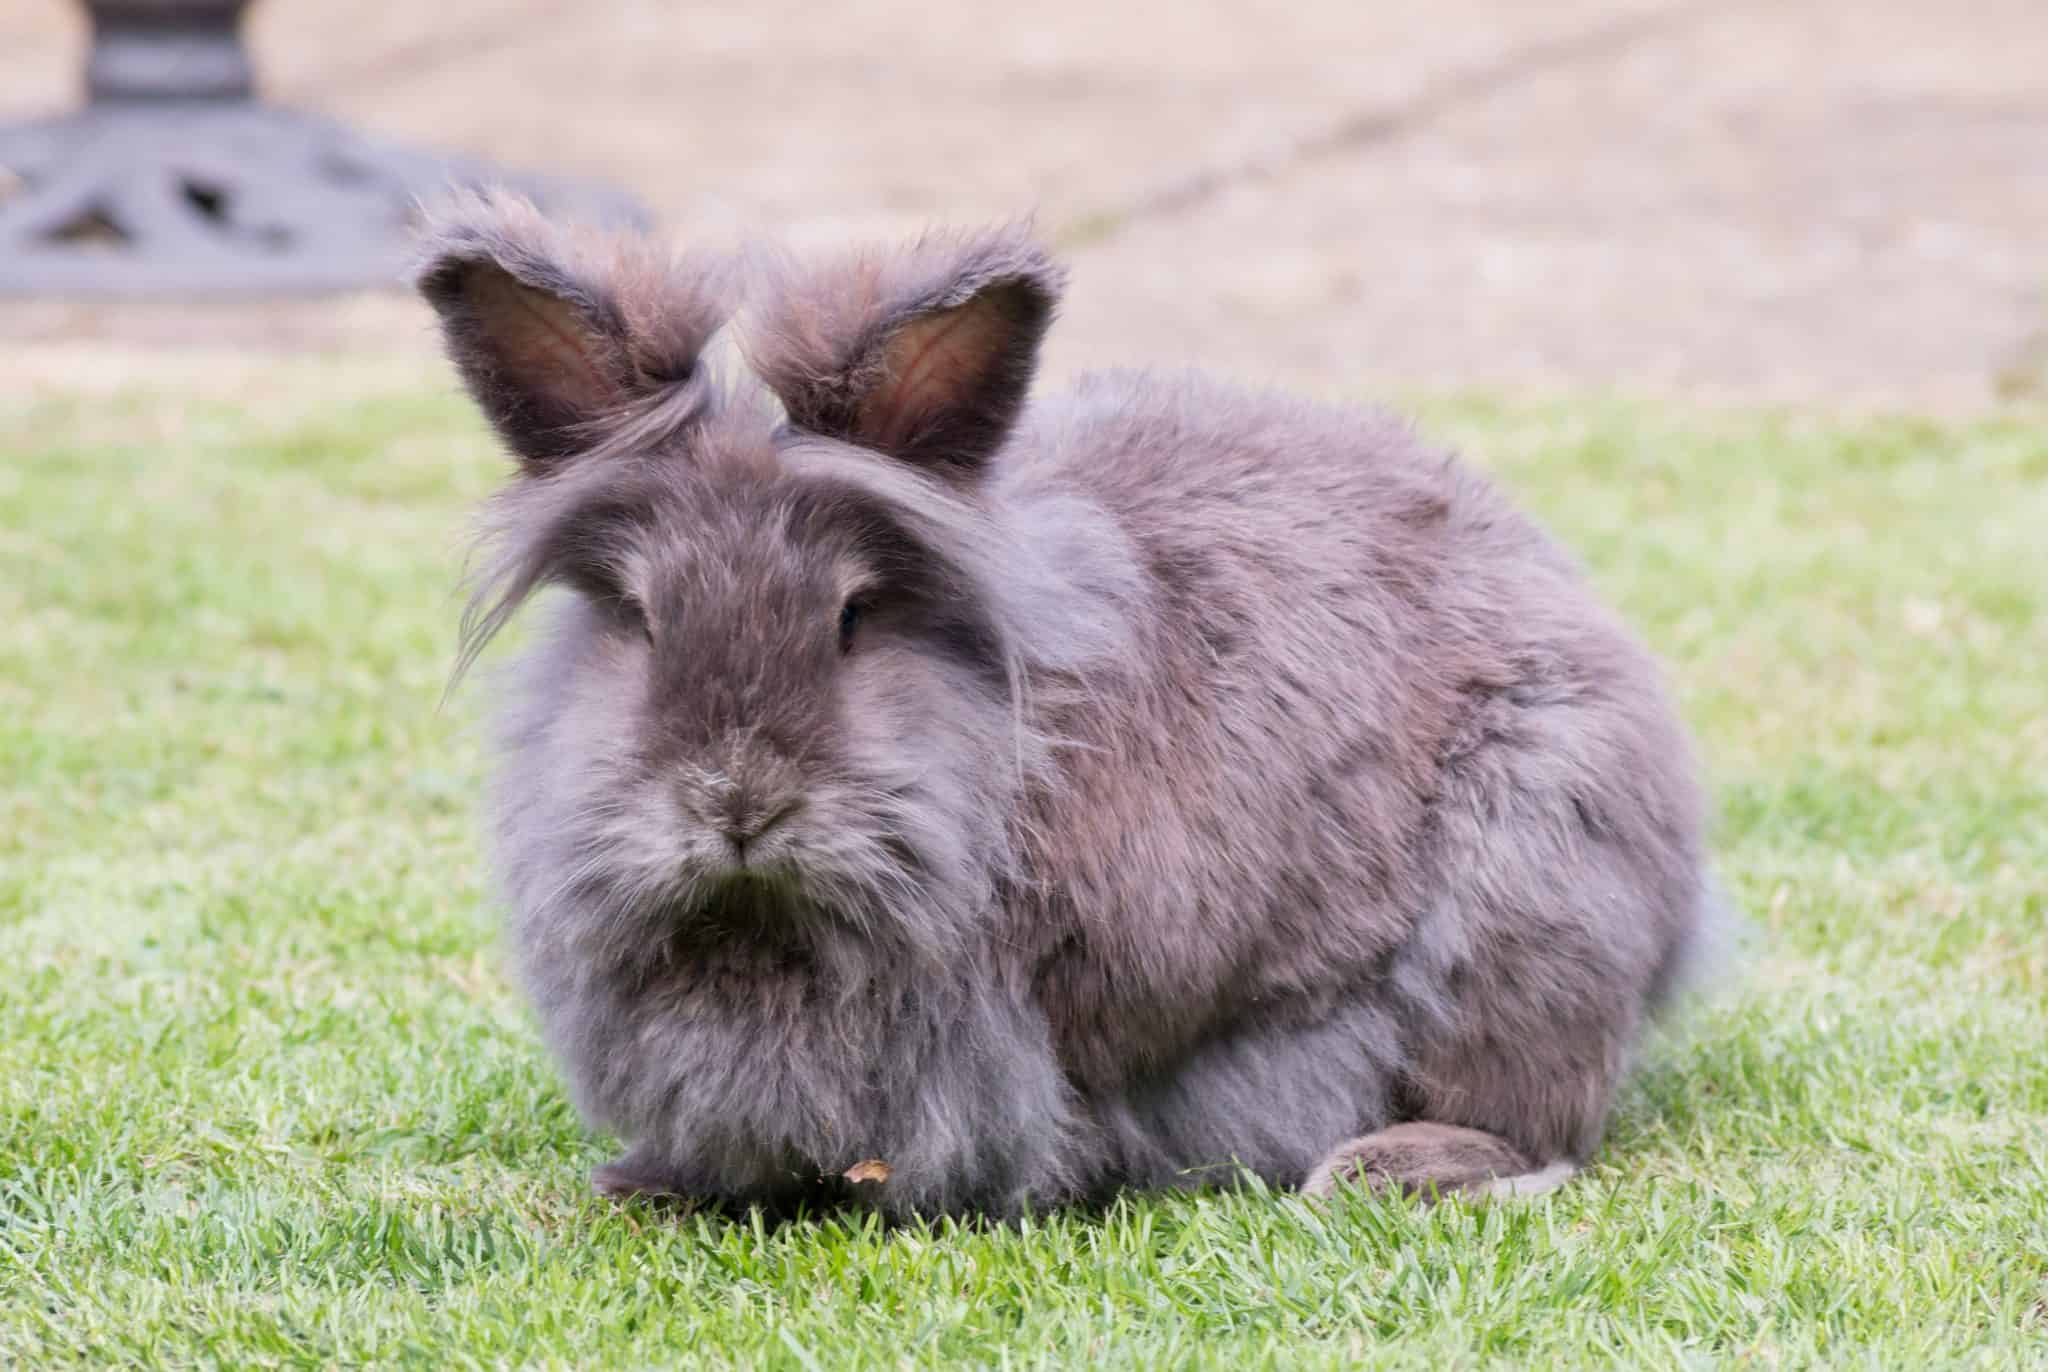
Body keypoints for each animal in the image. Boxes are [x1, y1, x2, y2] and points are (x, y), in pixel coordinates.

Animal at [411, 193, 1712, 1228]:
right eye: (637, 618)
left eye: (853, 616)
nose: (737, 801)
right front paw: (648, 1180)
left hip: (1534, 909)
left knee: (1539, 1122)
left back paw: (1387, 1166)